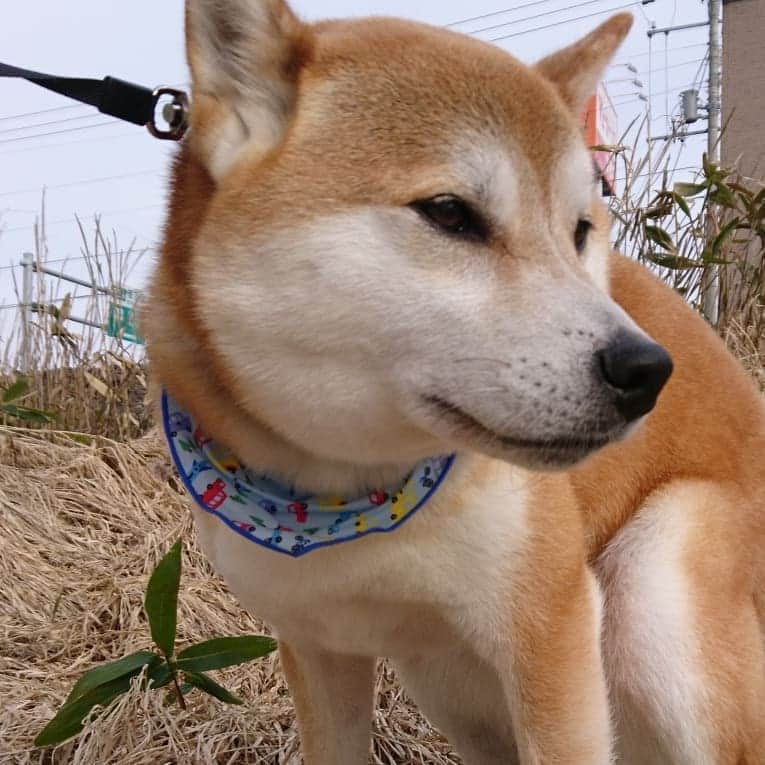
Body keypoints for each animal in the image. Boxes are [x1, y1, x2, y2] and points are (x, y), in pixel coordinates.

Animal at [143, 2, 764, 760]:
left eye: (579, 231)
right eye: (448, 213)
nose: (644, 370)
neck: (347, 498)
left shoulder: (549, 628)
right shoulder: (317, 644)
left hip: (654, 591)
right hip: (446, 684)